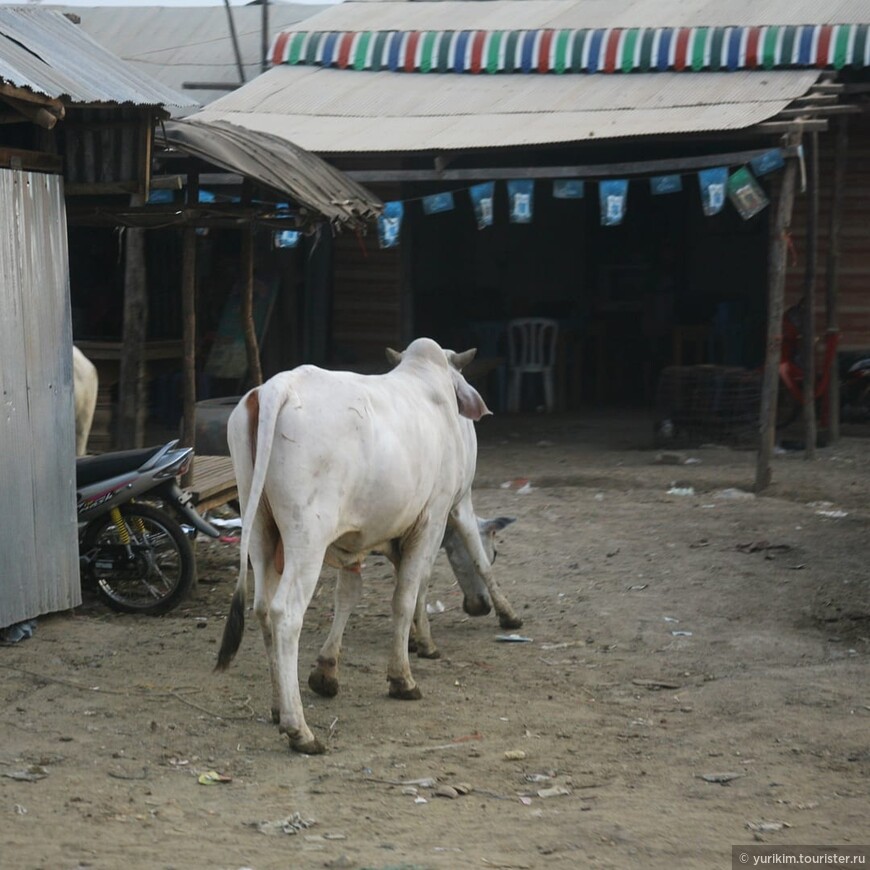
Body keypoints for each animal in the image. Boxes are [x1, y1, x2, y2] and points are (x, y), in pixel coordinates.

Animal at [217, 338, 516, 752]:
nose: (477, 606)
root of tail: (279, 386)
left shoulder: (355, 540)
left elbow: (350, 594)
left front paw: (328, 672)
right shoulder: (442, 511)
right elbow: (420, 586)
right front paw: (406, 670)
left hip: (260, 527)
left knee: (262, 608)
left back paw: (279, 707)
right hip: (307, 538)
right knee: (285, 614)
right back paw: (299, 729)